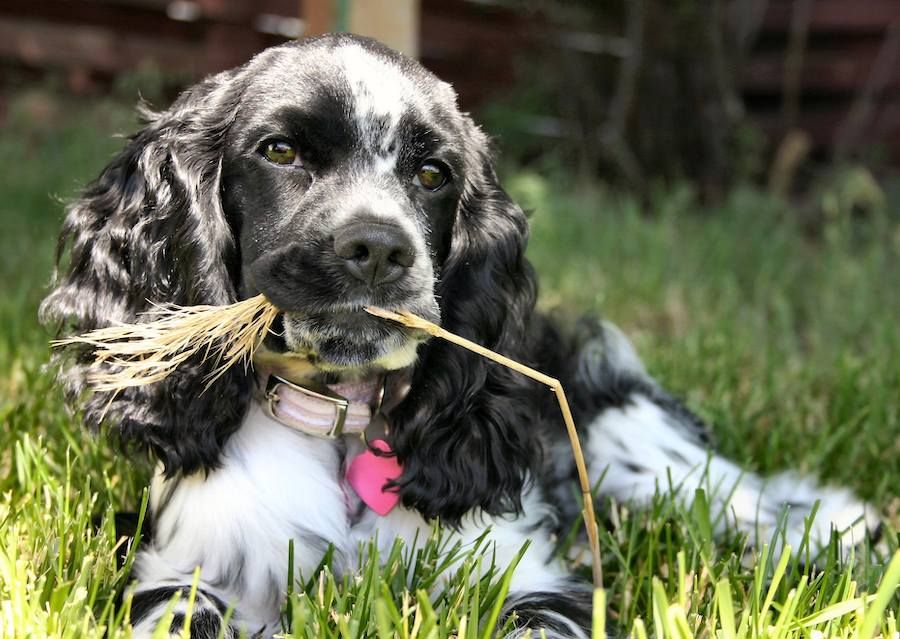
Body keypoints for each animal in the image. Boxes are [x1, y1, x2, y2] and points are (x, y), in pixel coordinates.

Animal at [42, 36, 880, 639]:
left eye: (433, 174)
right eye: (279, 150)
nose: (380, 249)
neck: (343, 434)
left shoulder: (531, 573)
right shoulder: (188, 570)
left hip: (631, 445)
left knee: (743, 494)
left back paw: (843, 527)